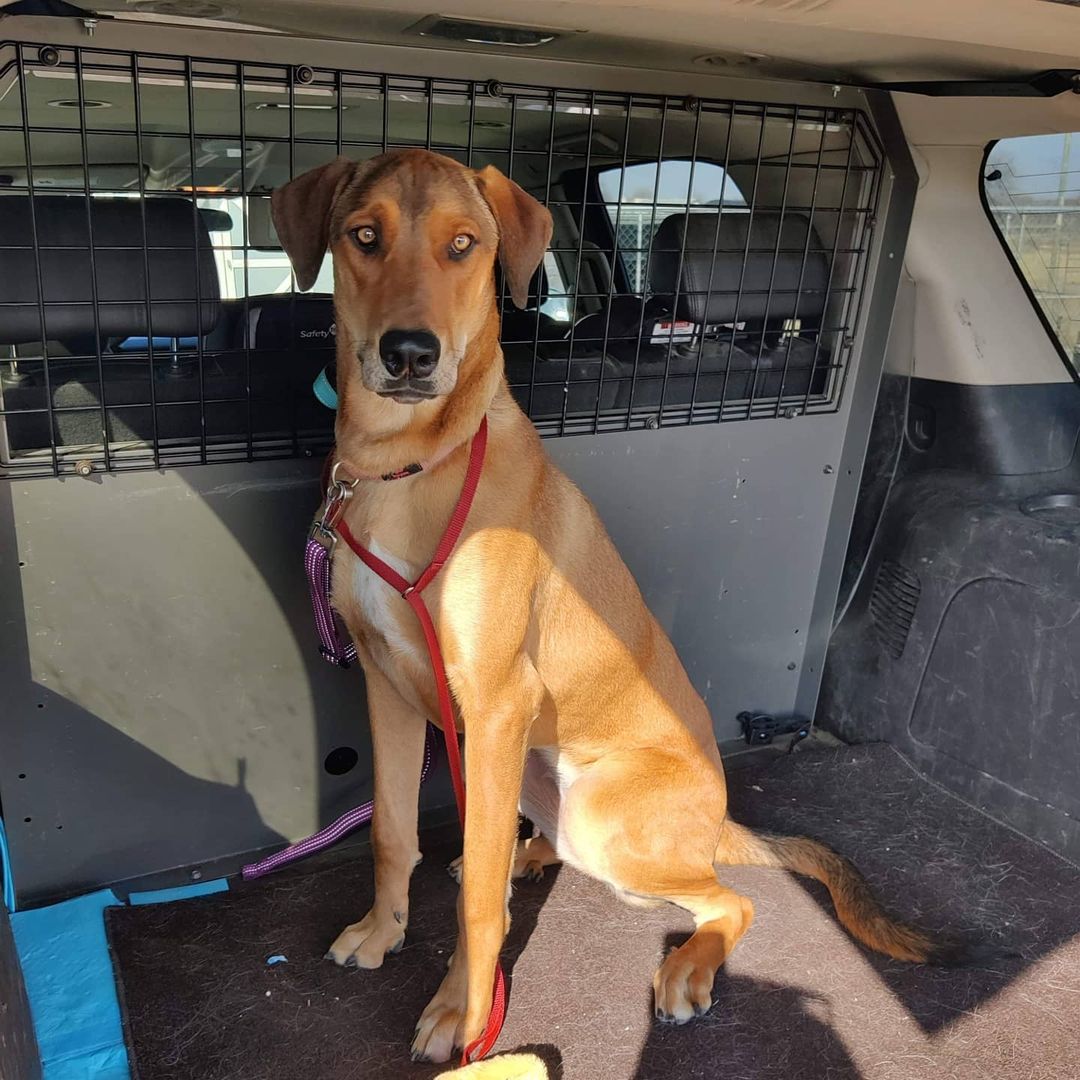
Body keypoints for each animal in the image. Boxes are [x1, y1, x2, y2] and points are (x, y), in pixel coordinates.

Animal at [274, 150, 959, 1062]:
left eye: (463, 246)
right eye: (363, 236)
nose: (410, 354)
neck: (405, 461)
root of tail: (721, 816)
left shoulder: (495, 705)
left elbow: (478, 906)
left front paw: (465, 1011)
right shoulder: (386, 683)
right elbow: (392, 830)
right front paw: (383, 932)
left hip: (599, 811)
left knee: (729, 898)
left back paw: (683, 966)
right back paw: (526, 855)